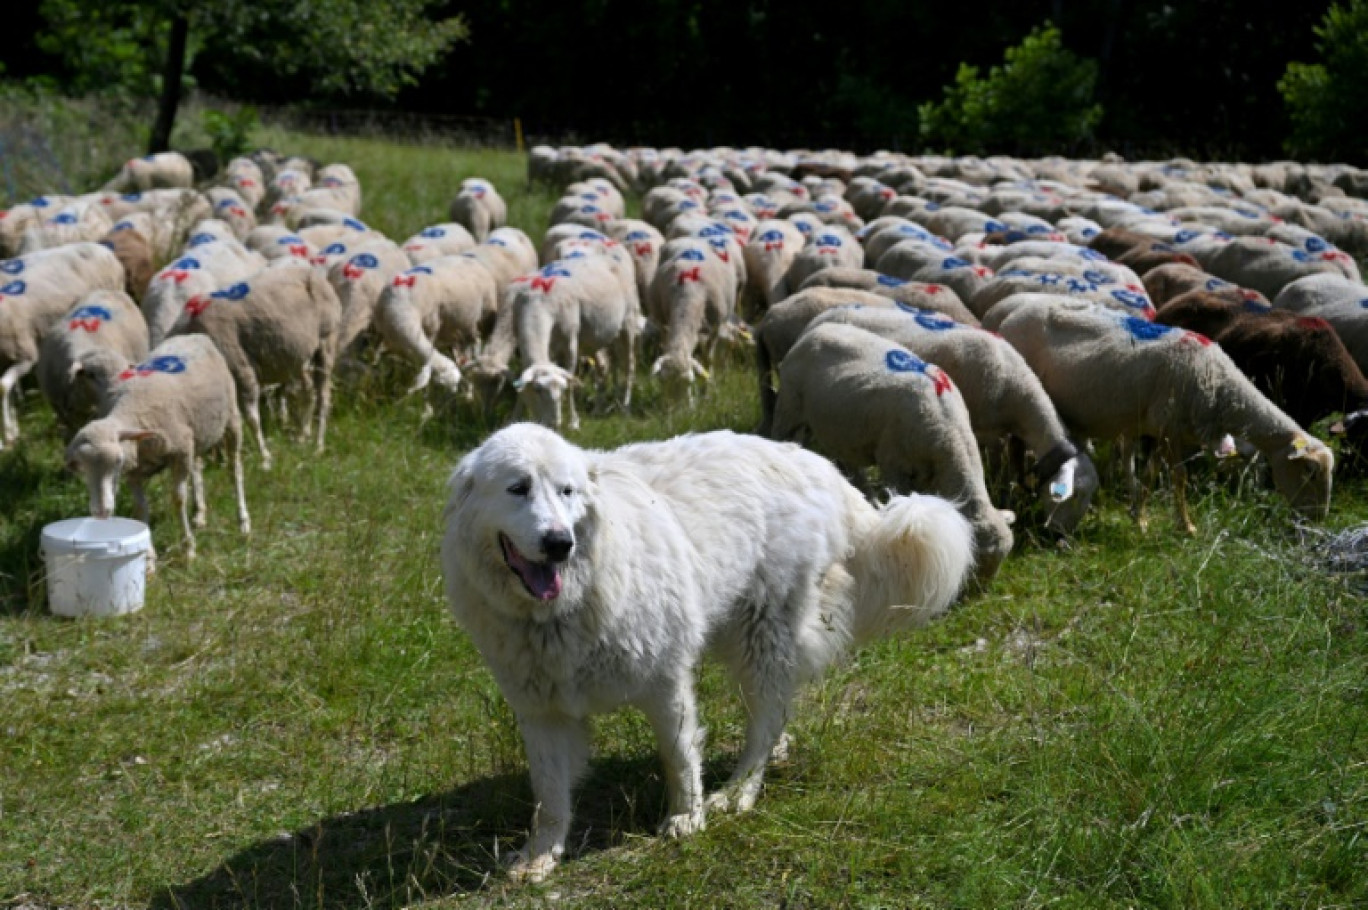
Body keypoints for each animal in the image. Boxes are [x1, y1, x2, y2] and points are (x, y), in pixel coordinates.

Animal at [66, 333, 251, 561]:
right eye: (81, 467)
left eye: (118, 461)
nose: (101, 512)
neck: (131, 411)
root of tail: (195, 335)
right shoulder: (135, 472)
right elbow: (140, 509)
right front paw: (148, 557)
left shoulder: (179, 452)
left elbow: (178, 499)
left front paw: (188, 548)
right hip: (196, 432)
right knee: (198, 467)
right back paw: (200, 514)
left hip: (231, 418)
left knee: (235, 470)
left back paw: (243, 523)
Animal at [440, 424, 974, 881]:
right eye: (517, 488)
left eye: (566, 491)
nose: (558, 543)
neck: (563, 608)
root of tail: (817, 465)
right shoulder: (542, 710)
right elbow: (548, 795)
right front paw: (539, 857)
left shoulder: (665, 681)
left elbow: (678, 757)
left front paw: (686, 819)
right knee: (777, 711)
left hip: (761, 637)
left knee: (764, 720)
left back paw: (738, 791)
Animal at [771, 322, 1017, 585]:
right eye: (975, 561)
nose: (978, 594)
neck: (949, 435)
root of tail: (818, 328)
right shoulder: (893, 463)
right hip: (789, 406)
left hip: (843, 428)